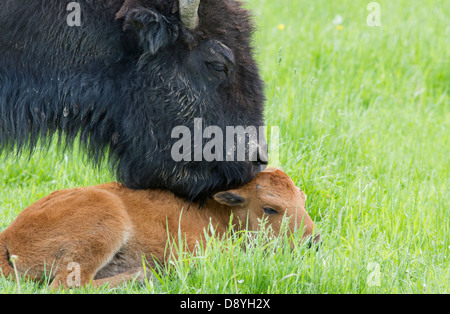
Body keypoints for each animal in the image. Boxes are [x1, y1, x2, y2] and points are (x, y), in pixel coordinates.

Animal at [0, 168, 318, 288]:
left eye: (303, 199)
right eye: (270, 208)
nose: (312, 241)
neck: (218, 210)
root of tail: (8, 235)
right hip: (106, 221)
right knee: (71, 284)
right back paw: (144, 276)